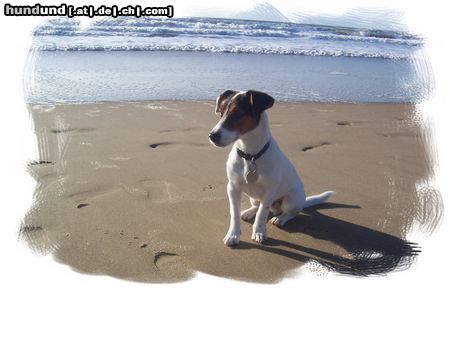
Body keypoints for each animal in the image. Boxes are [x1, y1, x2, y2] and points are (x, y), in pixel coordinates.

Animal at [208, 90, 334, 246]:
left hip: (291, 200)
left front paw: (259, 232)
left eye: (237, 114)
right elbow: (234, 213)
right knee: (257, 206)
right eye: (220, 113)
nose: (212, 136)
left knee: (291, 213)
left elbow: (262, 214)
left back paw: (281, 218)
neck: (250, 155)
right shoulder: (233, 187)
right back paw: (249, 212)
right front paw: (233, 234)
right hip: (253, 198)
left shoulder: (269, 192)